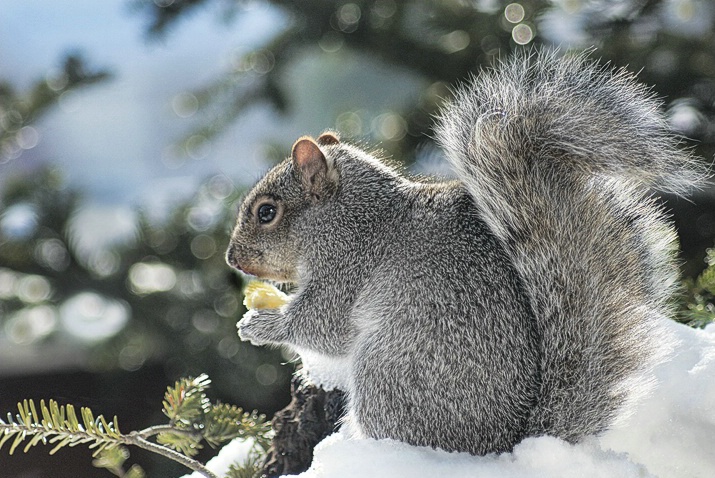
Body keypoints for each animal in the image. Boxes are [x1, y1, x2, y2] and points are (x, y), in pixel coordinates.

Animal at [227, 50, 708, 458]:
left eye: (267, 212)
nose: (232, 259)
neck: (352, 214)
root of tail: (503, 443)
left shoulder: (348, 265)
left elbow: (323, 325)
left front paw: (261, 325)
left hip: (391, 368)